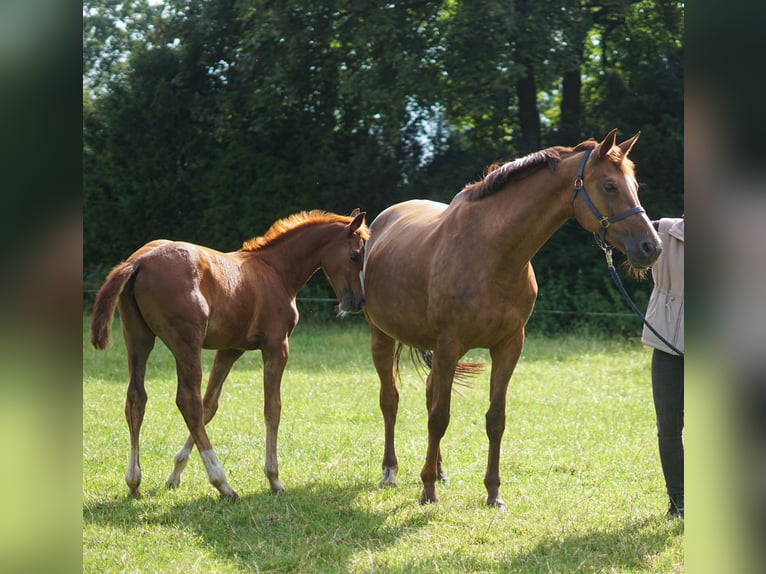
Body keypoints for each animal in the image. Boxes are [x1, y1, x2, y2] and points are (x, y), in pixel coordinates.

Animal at [91, 210, 368, 500]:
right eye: (354, 255)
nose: (357, 302)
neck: (275, 271)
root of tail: (139, 261)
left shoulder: (229, 350)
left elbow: (211, 405)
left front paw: (175, 473)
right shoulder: (276, 346)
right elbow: (272, 408)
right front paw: (274, 479)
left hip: (138, 338)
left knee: (137, 398)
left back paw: (134, 482)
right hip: (186, 343)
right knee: (188, 402)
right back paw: (222, 483)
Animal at [364, 129, 664, 508]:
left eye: (634, 185)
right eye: (609, 186)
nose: (651, 247)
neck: (493, 254)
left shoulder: (508, 346)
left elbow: (495, 419)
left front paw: (493, 493)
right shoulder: (449, 345)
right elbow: (439, 418)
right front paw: (428, 491)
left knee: (430, 393)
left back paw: (440, 471)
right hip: (382, 336)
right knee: (390, 400)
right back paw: (391, 471)